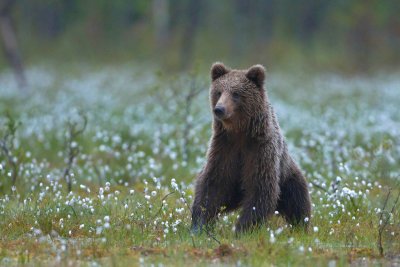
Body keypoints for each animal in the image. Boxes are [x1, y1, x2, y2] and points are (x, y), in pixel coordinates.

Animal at [192, 62, 310, 234]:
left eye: (236, 93)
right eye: (219, 92)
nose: (219, 109)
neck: (240, 132)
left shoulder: (260, 150)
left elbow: (260, 189)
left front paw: (242, 229)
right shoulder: (224, 149)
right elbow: (212, 185)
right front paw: (199, 224)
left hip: (288, 177)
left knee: (297, 202)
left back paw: (301, 227)